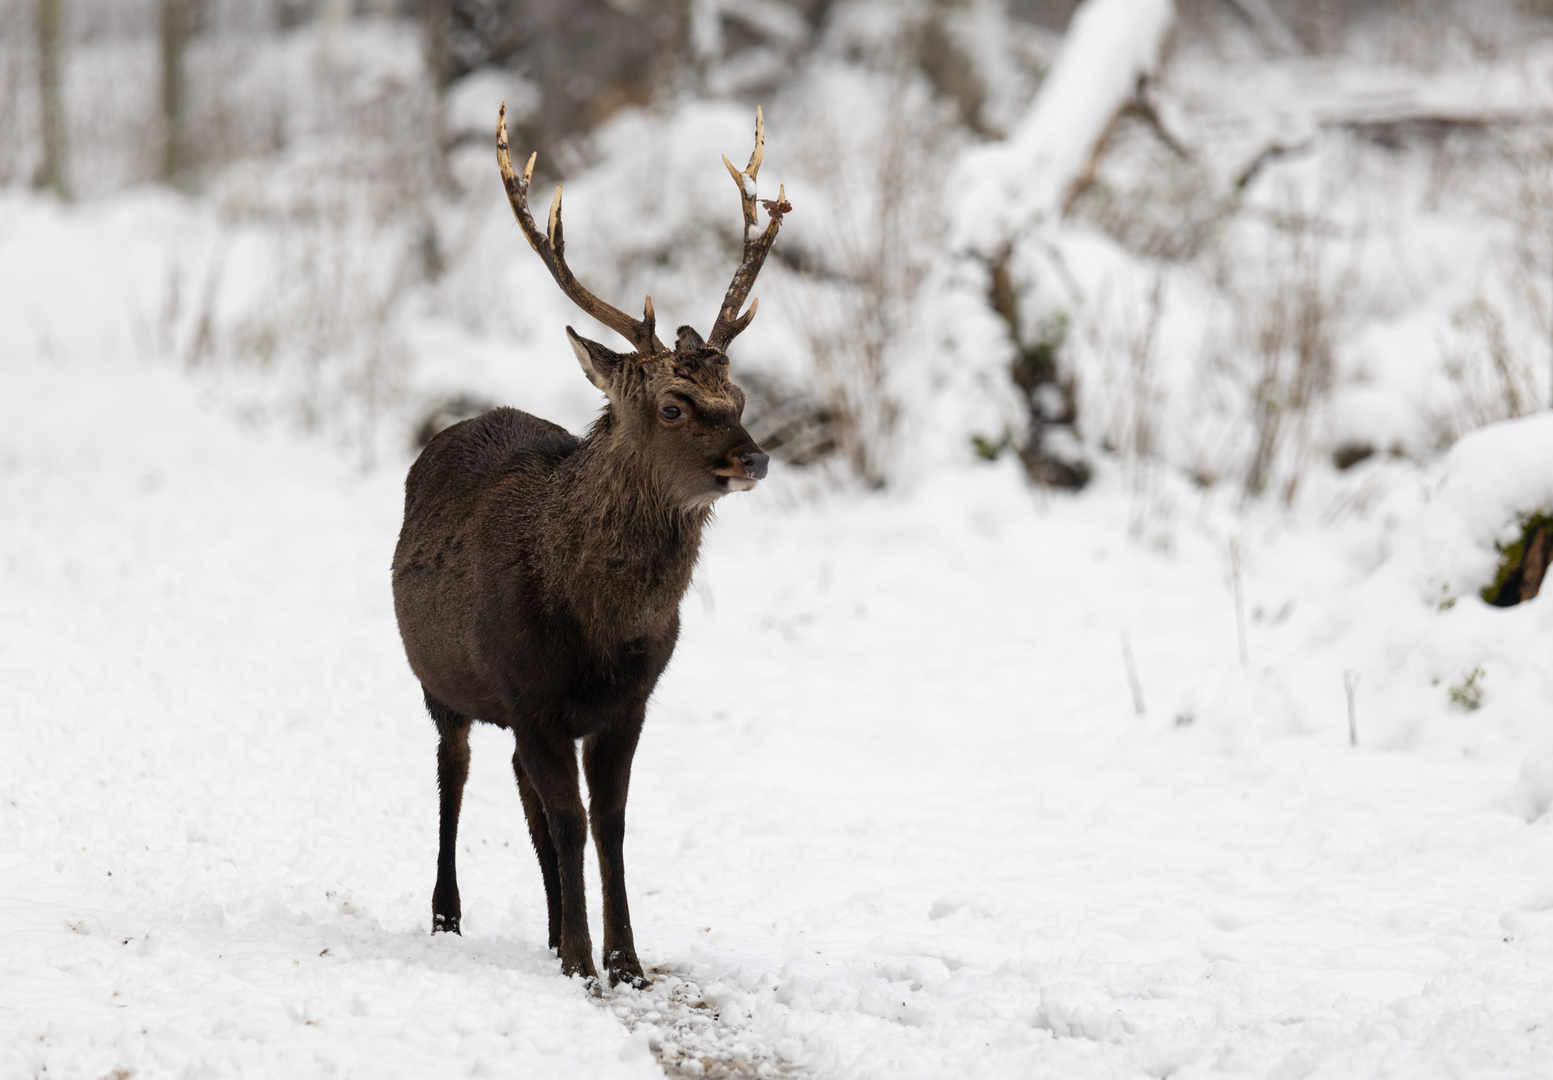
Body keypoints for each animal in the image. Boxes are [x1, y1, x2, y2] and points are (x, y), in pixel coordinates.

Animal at [394, 105, 788, 994]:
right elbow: (572, 818)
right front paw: (583, 961)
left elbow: (606, 821)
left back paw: (546, 928)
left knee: (523, 795)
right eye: (673, 405)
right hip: (443, 684)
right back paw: (448, 916)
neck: (601, 629)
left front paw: (624, 960)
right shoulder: (529, 693)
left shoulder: (627, 703)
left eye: (739, 394)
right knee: (454, 773)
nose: (753, 459)